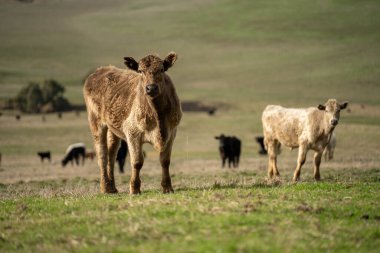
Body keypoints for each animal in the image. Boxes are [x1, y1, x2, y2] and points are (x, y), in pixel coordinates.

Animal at [84, 51, 182, 194]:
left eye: (161, 69)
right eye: (140, 71)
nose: (151, 88)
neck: (158, 116)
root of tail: (100, 70)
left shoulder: (172, 132)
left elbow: (165, 160)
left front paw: (167, 187)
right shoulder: (132, 133)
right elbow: (137, 161)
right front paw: (135, 189)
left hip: (113, 128)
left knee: (111, 154)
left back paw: (112, 187)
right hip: (96, 122)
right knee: (102, 154)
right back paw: (105, 187)